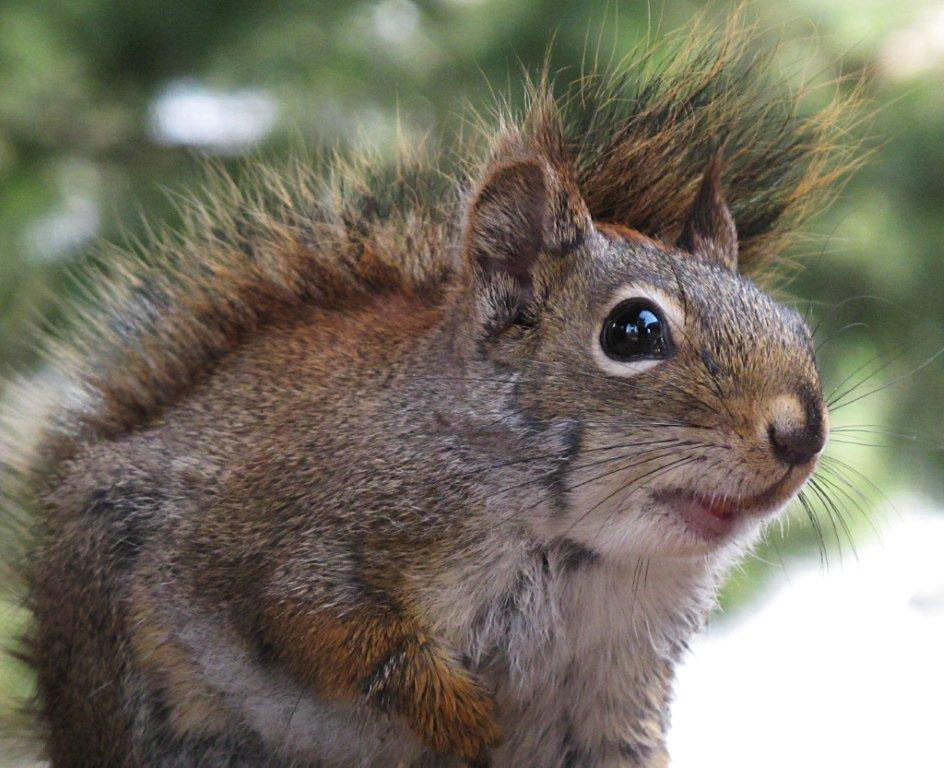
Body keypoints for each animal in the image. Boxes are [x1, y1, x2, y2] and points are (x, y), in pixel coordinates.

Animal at [0, 17, 862, 768]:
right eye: (633, 331)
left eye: (796, 327)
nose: (802, 435)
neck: (576, 547)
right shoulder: (293, 539)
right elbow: (324, 629)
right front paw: (457, 715)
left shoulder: (613, 684)